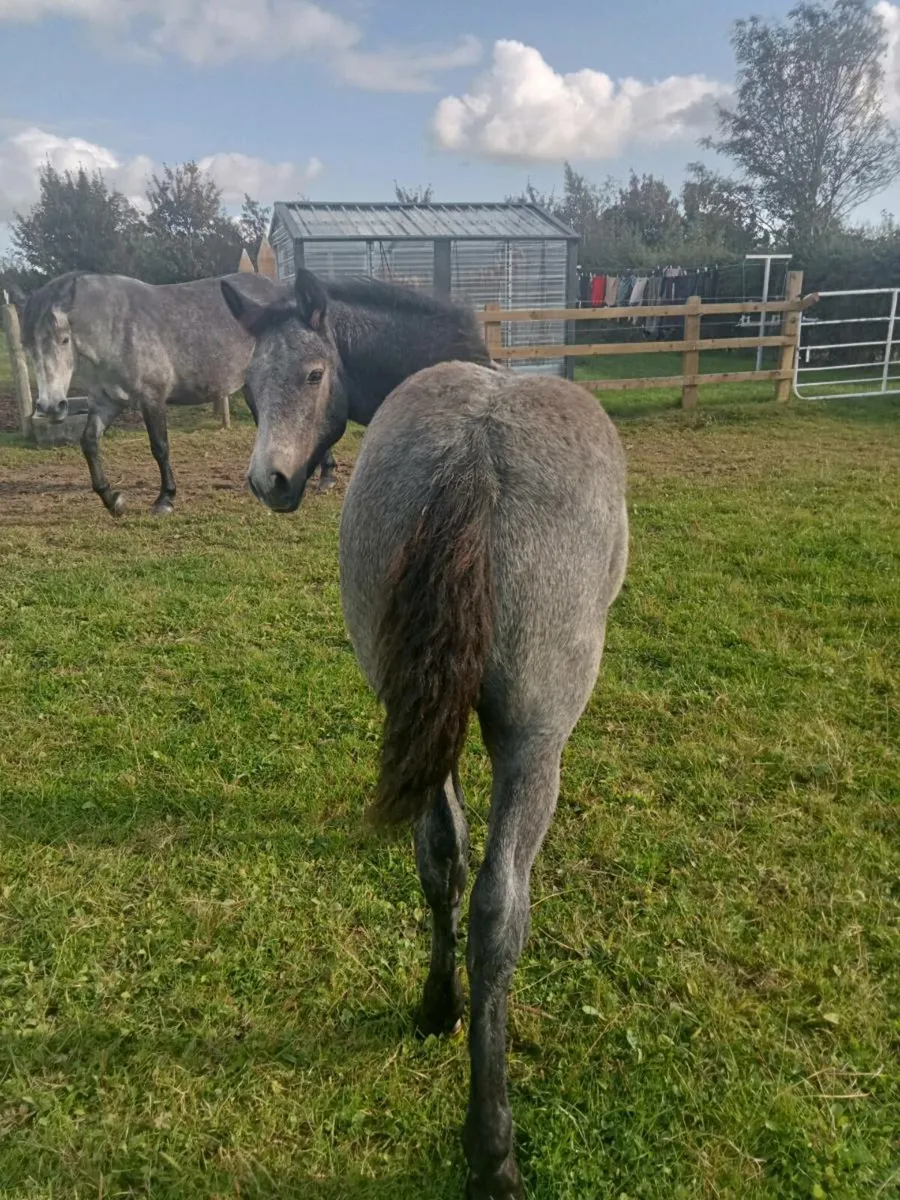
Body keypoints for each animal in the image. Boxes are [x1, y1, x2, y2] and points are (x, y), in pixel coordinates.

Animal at [13, 270, 339, 518]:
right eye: (27, 345)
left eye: (64, 339)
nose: (51, 406)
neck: (117, 328)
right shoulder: (109, 401)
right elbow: (89, 442)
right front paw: (113, 500)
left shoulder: (152, 397)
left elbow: (160, 447)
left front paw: (165, 500)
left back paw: (326, 478)